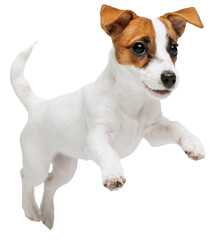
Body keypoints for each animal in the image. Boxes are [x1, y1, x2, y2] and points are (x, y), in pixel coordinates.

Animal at [10, 3, 205, 229]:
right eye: (139, 47)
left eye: (174, 48)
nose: (170, 78)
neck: (131, 99)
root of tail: (37, 105)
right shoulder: (97, 137)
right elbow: (108, 152)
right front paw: (112, 172)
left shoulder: (153, 131)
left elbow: (176, 124)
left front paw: (192, 143)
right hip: (37, 164)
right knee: (25, 177)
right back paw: (31, 210)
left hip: (65, 168)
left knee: (49, 184)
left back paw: (48, 215)